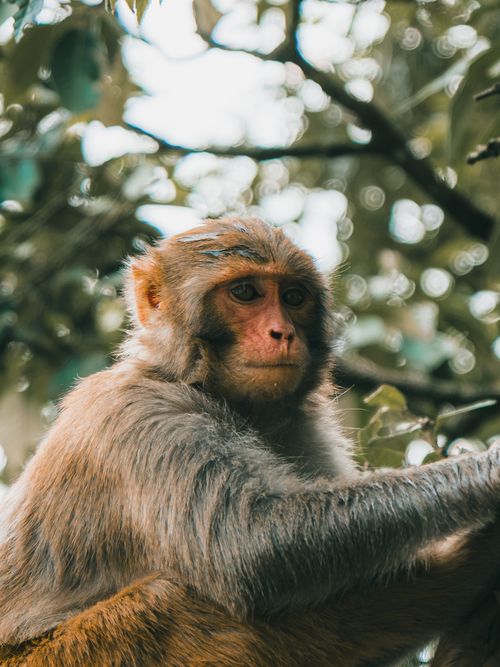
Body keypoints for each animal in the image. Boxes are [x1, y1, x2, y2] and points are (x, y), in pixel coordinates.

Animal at [1, 216, 500, 667]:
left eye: (294, 297)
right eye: (245, 292)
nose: (283, 333)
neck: (196, 383)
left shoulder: (304, 428)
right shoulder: (140, 418)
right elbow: (250, 543)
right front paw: (487, 473)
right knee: (172, 600)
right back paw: (465, 571)